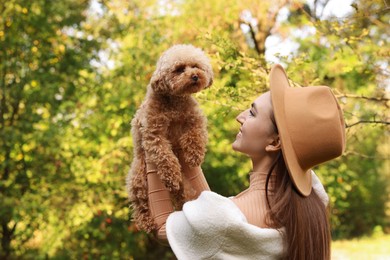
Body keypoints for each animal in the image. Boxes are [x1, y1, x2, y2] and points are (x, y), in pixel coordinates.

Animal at [126, 44, 213, 232]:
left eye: (196, 65)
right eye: (179, 69)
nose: (195, 76)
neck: (175, 101)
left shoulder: (195, 119)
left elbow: (195, 135)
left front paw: (194, 156)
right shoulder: (153, 134)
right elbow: (165, 156)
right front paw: (171, 176)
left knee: (182, 194)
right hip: (139, 178)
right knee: (140, 205)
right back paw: (147, 222)